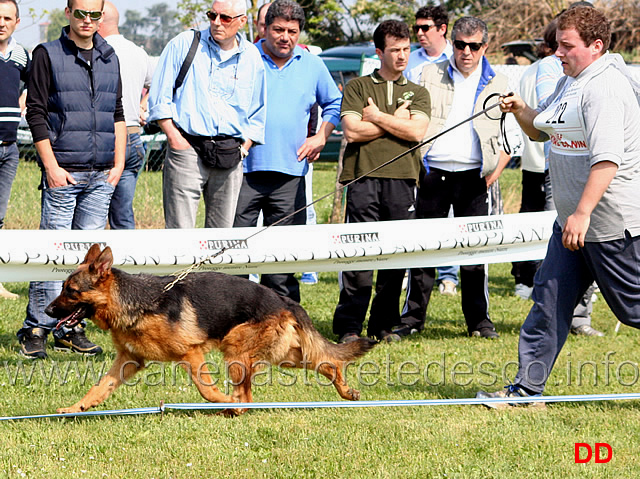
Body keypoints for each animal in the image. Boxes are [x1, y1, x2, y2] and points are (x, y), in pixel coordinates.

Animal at [46, 246, 376, 414]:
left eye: (71, 291)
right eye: (63, 288)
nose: (48, 312)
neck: (133, 302)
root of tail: (283, 299)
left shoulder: (191, 353)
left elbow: (206, 390)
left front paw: (224, 400)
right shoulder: (129, 361)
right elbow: (99, 387)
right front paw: (76, 408)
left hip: (237, 349)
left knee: (249, 394)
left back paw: (236, 408)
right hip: (282, 354)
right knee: (327, 362)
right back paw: (346, 391)